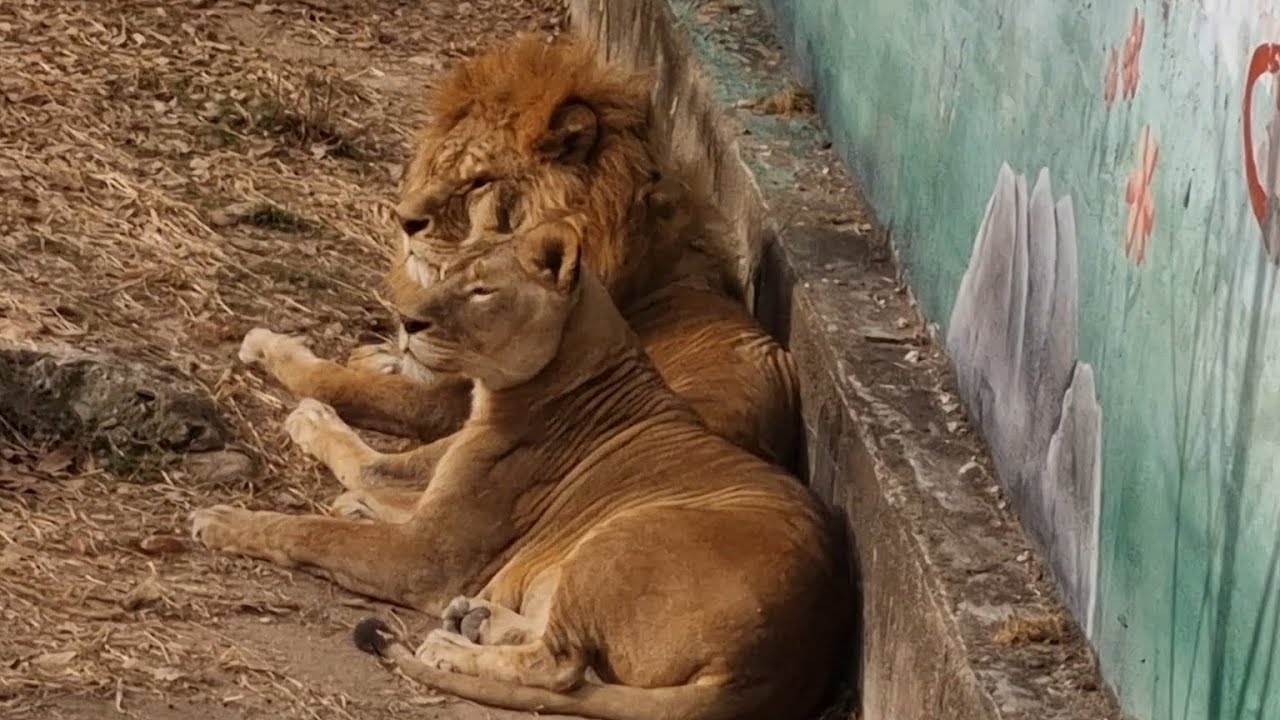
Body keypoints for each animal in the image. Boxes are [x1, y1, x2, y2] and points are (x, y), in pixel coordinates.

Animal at [196, 220, 847, 720]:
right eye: (445, 275)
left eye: (482, 291)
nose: (406, 321)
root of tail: (779, 668)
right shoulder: (437, 489)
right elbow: (368, 472)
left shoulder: (426, 558)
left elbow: (323, 519)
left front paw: (225, 518)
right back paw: (477, 619)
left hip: (618, 541)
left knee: (559, 668)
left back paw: (452, 648)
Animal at [241, 33, 800, 468]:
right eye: (441, 165)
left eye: (479, 181)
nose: (404, 220)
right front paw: (379, 353)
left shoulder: (450, 402)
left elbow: (334, 381)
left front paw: (273, 347)